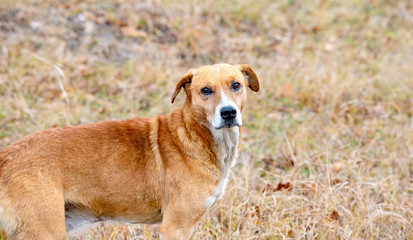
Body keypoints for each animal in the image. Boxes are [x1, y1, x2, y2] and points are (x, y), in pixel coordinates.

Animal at [0, 62, 258, 239]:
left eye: (236, 85)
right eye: (206, 90)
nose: (228, 113)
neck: (194, 137)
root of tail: (5, 156)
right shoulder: (175, 227)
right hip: (46, 231)